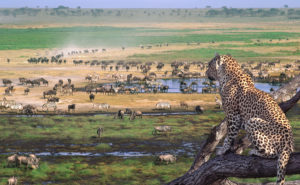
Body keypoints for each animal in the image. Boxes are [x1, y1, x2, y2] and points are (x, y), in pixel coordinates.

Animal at [206, 54, 292, 184]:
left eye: (209, 65)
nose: (205, 72)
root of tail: (289, 143)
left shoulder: (233, 115)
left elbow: (229, 135)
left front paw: (224, 150)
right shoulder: (237, 118)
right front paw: (231, 148)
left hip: (253, 121)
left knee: (273, 153)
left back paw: (255, 152)